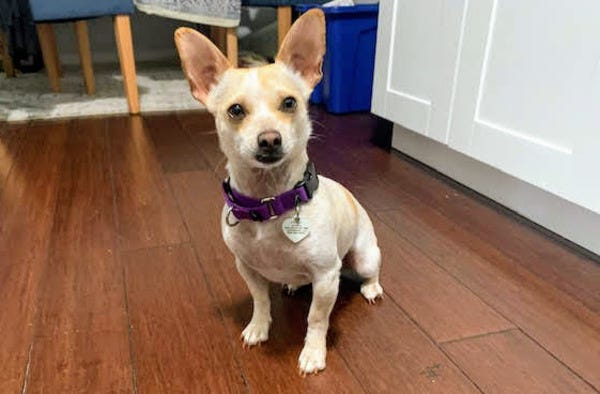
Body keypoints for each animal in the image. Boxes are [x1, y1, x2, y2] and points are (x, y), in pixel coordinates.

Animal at [173, 8, 382, 372]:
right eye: (235, 110)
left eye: (289, 103)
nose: (269, 139)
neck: (269, 201)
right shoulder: (247, 268)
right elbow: (260, 301)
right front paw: (258, 327)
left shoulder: (326, 278)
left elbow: (316, 319)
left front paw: (313, 352)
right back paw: (294, 283)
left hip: (365, 257)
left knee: (371, 271)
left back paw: (371, 288)